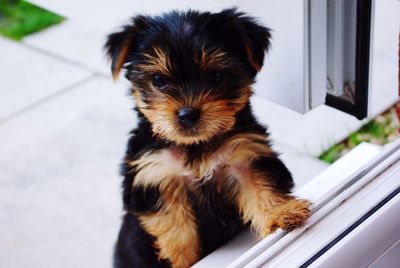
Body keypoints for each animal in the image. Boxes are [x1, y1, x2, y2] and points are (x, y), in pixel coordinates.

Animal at [104, 8, 310, 268]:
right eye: (159, 80)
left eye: (215, 76)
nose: (187, 114)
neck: (196, 145)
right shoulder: (155, 175)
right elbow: (175, 227)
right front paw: (183, 260)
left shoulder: (245, 155)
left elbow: (261, 186)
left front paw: (281, 213)